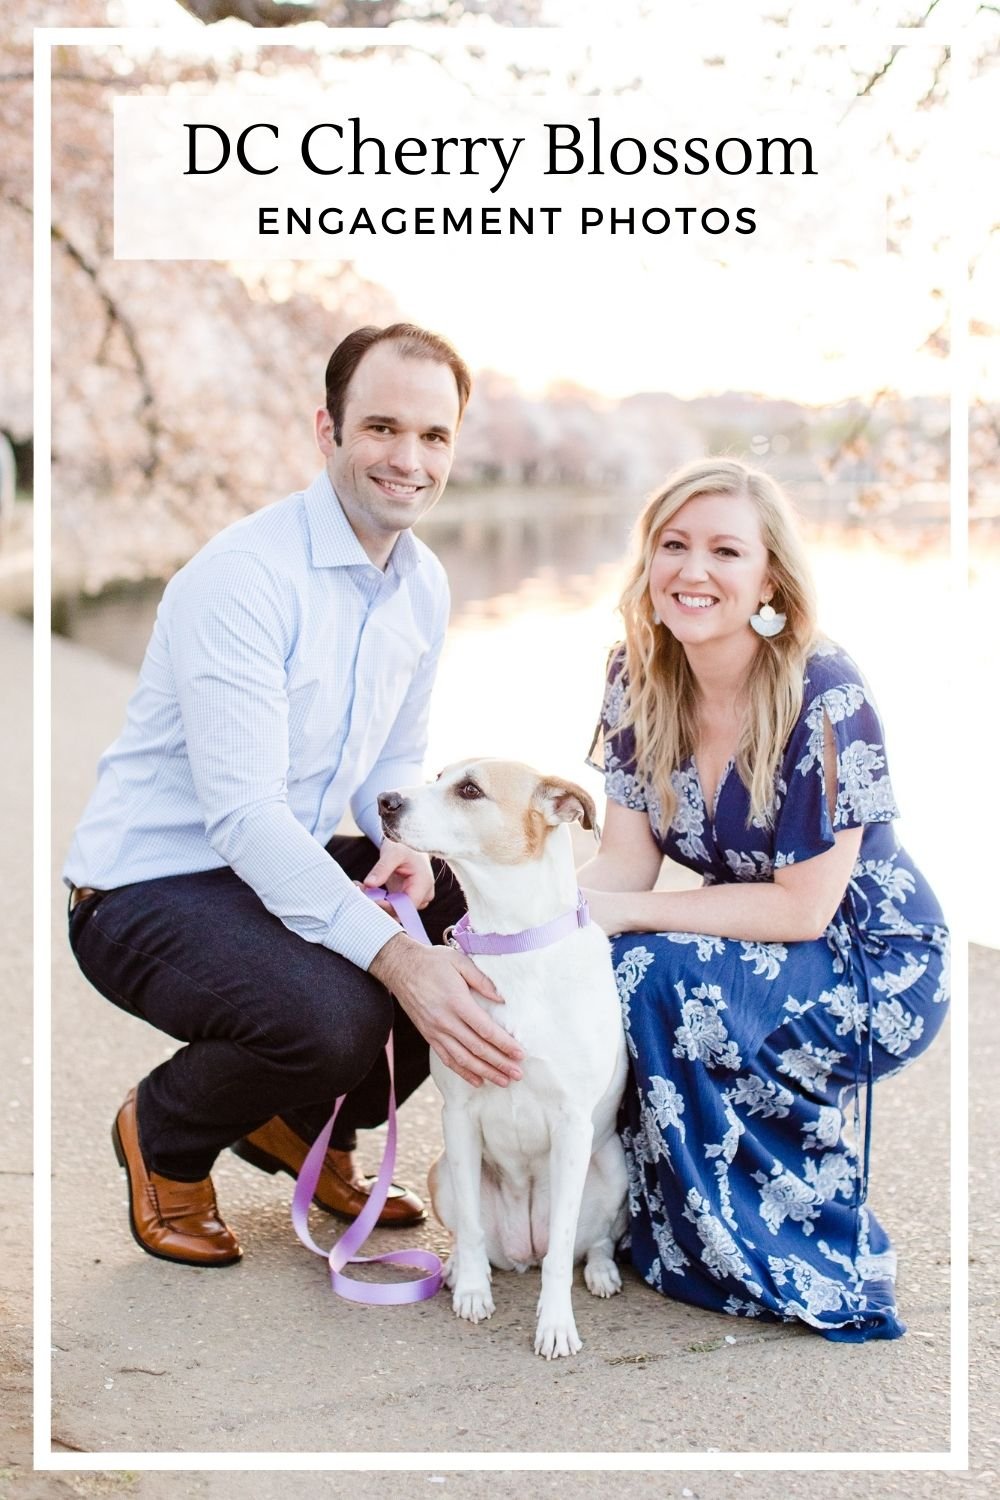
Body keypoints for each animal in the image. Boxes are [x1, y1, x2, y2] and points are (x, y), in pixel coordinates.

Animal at [377, 762, 626, 1362]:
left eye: (469, 789)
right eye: (436, 775)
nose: (384, 801)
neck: (512, 945)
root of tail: (521, 1252)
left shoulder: (572, 1125)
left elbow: (562, 1252)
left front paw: (555, 1324)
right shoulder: (459, 1116)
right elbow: (469, 1228)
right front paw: (470, 1289)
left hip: (615, 1169)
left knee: (593, 1241)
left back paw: (601, 1271)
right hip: (442, 1168)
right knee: (478, 1236)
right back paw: (453, 1269)